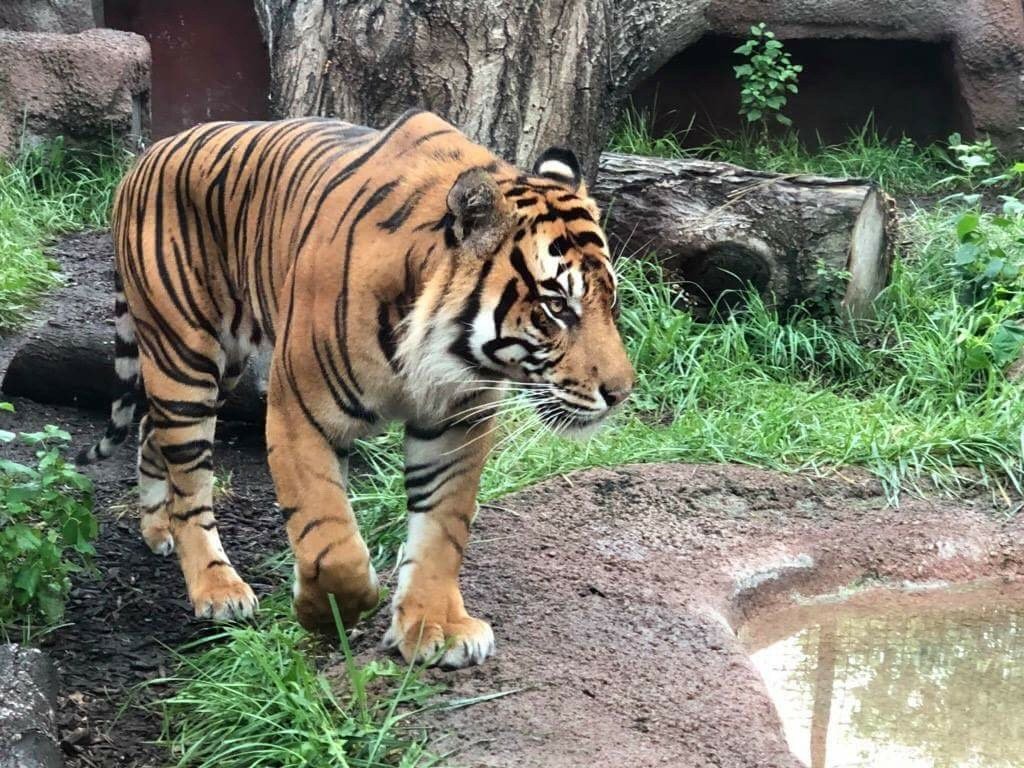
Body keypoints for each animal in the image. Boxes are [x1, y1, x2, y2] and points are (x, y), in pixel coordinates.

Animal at [78, 109, 634, 668]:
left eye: (611, 301)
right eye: (557, 307)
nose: (622, 392)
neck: (436, 352)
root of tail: (147, 155)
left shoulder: (455, 424)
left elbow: (442, 529)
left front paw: (435, 626)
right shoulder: (299, 413)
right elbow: (330, 541)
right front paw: (327, 612)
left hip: (222, 366)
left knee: (152, 433)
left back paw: (158, 528)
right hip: (185, 357)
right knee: (190, 478)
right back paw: (217, 589)